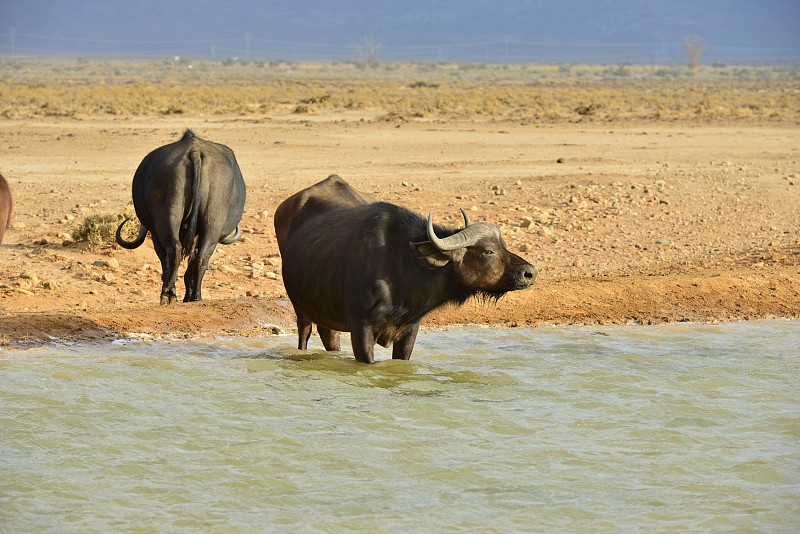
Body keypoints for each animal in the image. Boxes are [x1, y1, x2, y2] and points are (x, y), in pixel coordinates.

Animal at [117, 130, 245, 306]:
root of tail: (195, 151)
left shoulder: (155, 236)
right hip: (211, 225)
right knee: (201, 257)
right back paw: (195, 296)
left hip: (168, 218)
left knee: (174, 249)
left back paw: (169, 294)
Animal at [276, 176, 536, 364]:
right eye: (488, 251)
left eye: (504, 245)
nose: (530, 272)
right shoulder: (361, 326)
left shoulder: (410, 330)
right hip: (301, 309)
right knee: (304, 335)